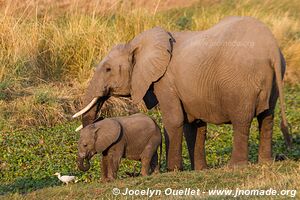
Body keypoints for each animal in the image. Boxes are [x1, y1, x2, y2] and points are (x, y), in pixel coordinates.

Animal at [72, 16, 290, 171]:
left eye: (108, 69)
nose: (100, 116)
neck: (136, 43)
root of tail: (271, 48)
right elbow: (193, 123)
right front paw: (200, 170)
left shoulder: (164, 81)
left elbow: (174, 120)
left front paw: (172, 170)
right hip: (271, 83)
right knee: (267, 117)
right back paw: (265, 163)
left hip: (241, 82)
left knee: (241, 120)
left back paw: (235, 166)